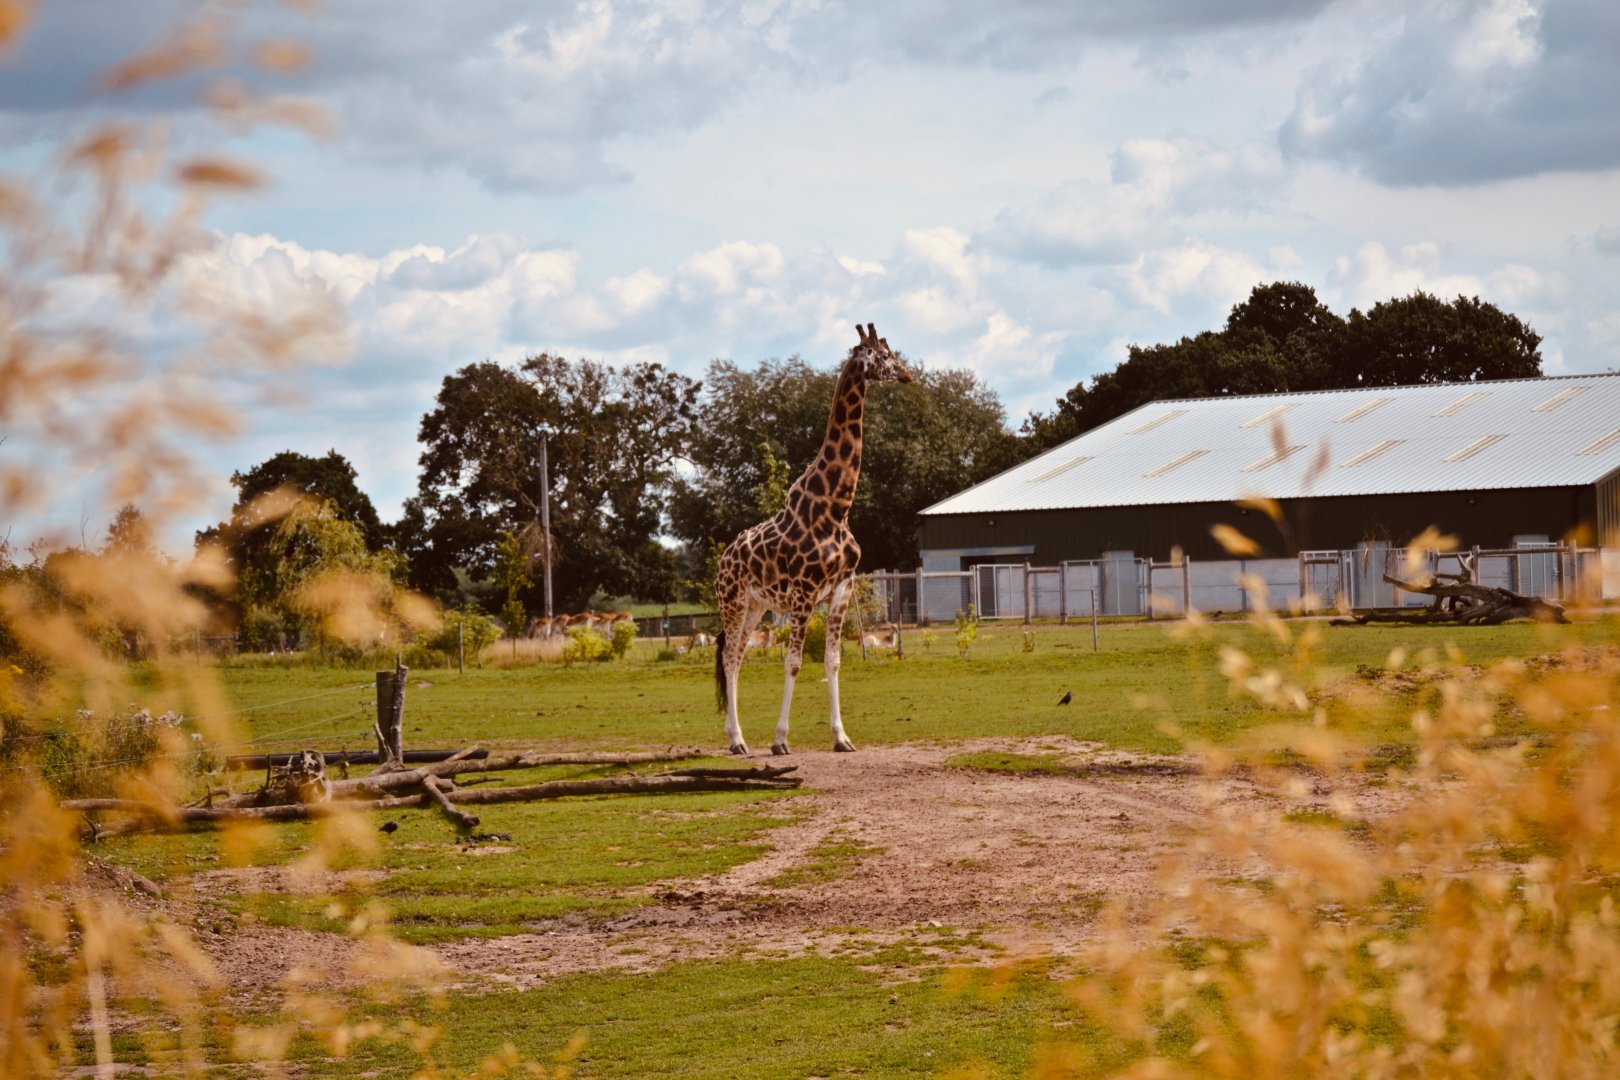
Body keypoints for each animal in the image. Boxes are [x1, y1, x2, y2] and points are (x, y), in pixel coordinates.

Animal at [713, 322, 914, 755]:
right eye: (884, 356)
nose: (908, 375)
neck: (836, 507)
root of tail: (722, 560)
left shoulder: (840, 589)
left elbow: (832, 660)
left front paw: (842, 737)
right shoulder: (804, 593)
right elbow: (793, 663)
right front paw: (780, 740)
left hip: (756, 606)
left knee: (737, 656)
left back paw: (738, 738)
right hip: (732, 602)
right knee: (729, 659)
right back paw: (738, 741)